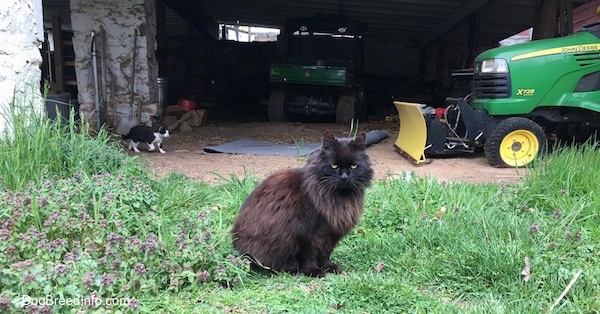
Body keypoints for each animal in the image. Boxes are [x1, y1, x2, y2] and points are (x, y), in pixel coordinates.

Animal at [232, 129, 372, 276]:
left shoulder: (329, 233)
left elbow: (325, 254)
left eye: (353, 166)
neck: (338, 197)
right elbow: (310, 256)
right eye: (334, 166)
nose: (344, 177)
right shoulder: (310, 233)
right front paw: (314, 271)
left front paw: (329, 267)